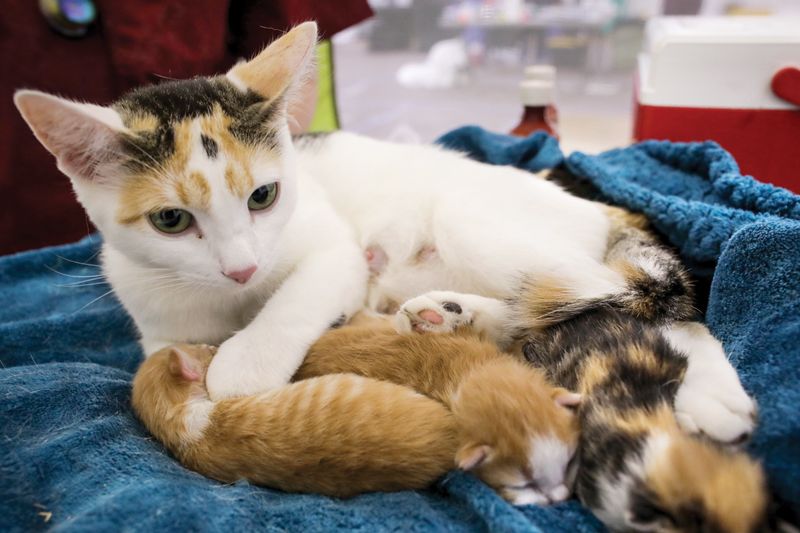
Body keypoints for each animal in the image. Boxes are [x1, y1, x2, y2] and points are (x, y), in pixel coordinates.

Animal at [14, 21, 756, 444]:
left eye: (263, 196)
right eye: (171, 220)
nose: (242, 268)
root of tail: (603, 207)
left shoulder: (331, 247)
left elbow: (300, 296)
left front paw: (246, 362)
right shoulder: (156, 319)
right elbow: (169, 348)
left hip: (472, 217)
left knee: (644, 305)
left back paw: (717, 396)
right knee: (559, 305)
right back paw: (451, 312)